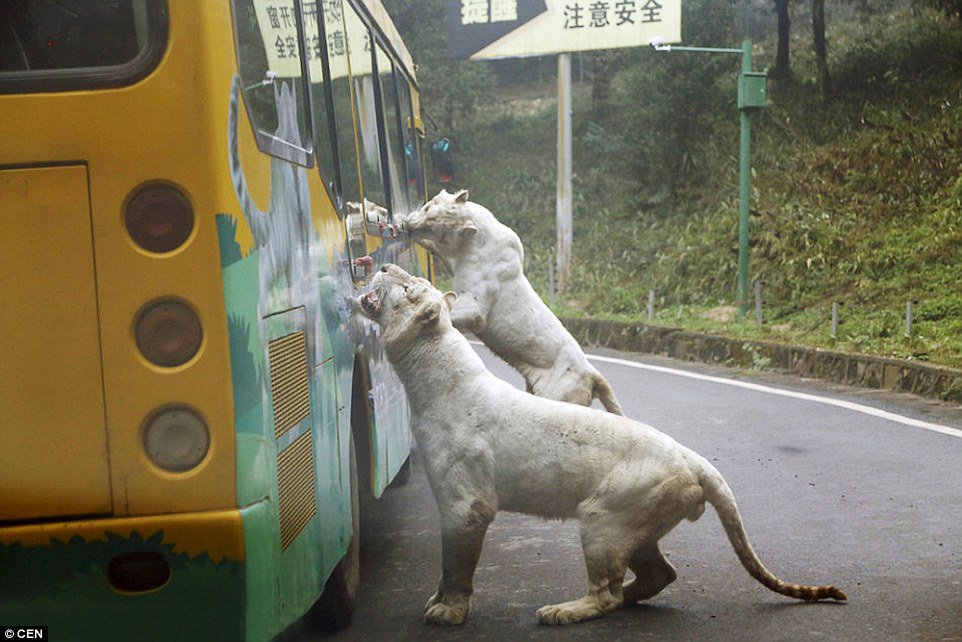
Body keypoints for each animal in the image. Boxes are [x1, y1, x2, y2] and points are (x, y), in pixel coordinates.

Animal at [354, 262, 848, 624]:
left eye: (406, 285)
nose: (384, 263)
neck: (427, 375)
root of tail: (695, 459)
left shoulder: (466, 505)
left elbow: (456, 563)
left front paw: (448, 612)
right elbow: (447, 564)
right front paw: (437, 601)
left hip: (603, 520)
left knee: (607, 595)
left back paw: (561, 611)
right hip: (634, 527)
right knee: (658, 574)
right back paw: (620, 597)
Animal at [396, 188, 624, 412]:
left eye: (436, 227)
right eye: (428, 207)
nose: (410, 224)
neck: (468, 243)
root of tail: (593, 375)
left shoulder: (475, 306)